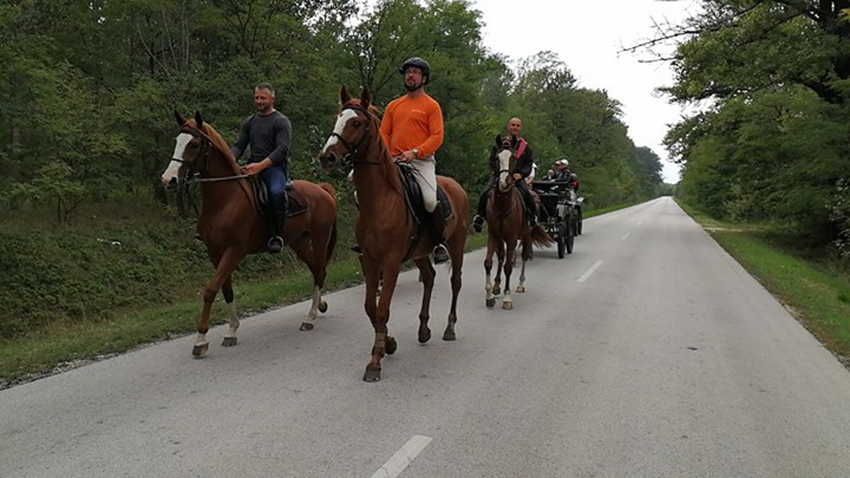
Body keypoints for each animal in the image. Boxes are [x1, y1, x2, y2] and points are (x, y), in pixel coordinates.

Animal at [162, 112, 338, 356]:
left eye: (194, 144)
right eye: (176, 141)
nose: (168, 180)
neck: (225, 200)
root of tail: (322, 189)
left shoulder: (234, 250)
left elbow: (210, 289)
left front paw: (200, 340)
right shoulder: (215, 252)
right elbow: (226, 289)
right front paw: (231, 331)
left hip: (320, 238)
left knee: (320, 271)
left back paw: (310, 317)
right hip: (299, 242)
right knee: (315, 270)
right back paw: (319, 306)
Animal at [316, 88, 468, 382]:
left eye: (356, 123)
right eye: (337, 118)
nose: (327, 157)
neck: (380, 202)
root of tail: (457, 187)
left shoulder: (390, 262)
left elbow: (383, 308)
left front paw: (375, 360)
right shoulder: (371, 260)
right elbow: (371, 308)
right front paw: (388, 343)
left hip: (456, 245)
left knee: (455, 282)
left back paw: (449, 328)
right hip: (420, 253)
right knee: (429, 278)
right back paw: (424, 329)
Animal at [484, 134, 548, 310]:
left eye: (514, 158)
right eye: (497, 158)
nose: (504, 183)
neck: (502, 204)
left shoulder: (512, 237)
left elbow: (508, 266)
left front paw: (507, 298)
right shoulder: (493, 235)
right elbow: (489, 263)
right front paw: (490, 295)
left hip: (525, 234)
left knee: (524, 256)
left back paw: (520, 284)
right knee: (501, 257)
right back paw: (497, 286)